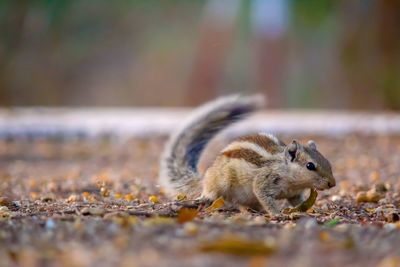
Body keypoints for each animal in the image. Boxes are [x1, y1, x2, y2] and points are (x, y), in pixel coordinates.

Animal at [158, 95, 336, 215]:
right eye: (310, 166)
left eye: (328, 163)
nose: (332, 184)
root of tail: (205, 178)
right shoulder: (264, 181)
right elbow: (264, 196)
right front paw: (277, 214)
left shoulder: (294, 194)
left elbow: (298, 202)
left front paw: (311, 210)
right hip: (221, 182)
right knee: (212, 194)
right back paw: (203, 200)